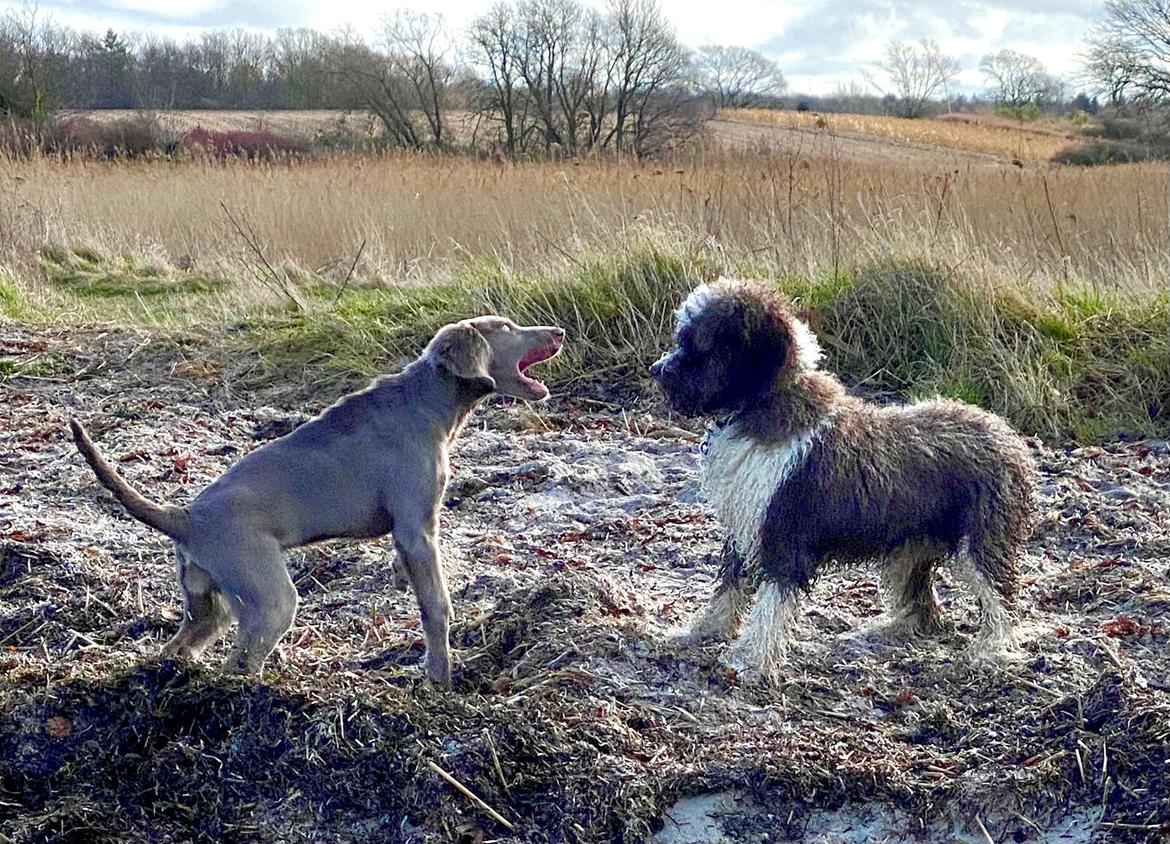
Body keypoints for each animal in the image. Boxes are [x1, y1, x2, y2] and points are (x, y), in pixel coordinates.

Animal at [73, 316, 566, 683]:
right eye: (507, 327)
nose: (558, 332)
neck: (427, 399)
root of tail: (186, 516)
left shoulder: (408, 535)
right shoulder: (417, 527)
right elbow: (437, 609)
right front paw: (440, 682)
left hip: (208, 607)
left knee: (179, 648)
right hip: (268, 597)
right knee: (238, 663)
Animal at [655, 276, 1038, 678]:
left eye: (697, 344)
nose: (656, 371)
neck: (762, 403)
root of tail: (1008, 436)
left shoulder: (784, 531)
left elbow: (771, 600)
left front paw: (753, 657)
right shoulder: (746, 528)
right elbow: (730, 585)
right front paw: (706, 629)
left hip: (981, 538)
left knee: (1000, 596)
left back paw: (993, 648)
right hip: (910, 544)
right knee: (922, 605)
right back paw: (887, 629)